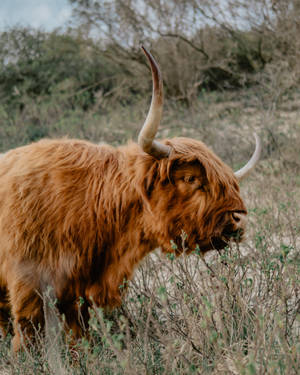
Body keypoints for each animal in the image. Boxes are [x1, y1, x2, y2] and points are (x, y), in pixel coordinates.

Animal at [0, 47, 260, 352]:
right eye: (190, 178)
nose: (238, 219)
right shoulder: (27, 285)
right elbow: (27, 334)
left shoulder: (78, 291)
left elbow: (79, 335)